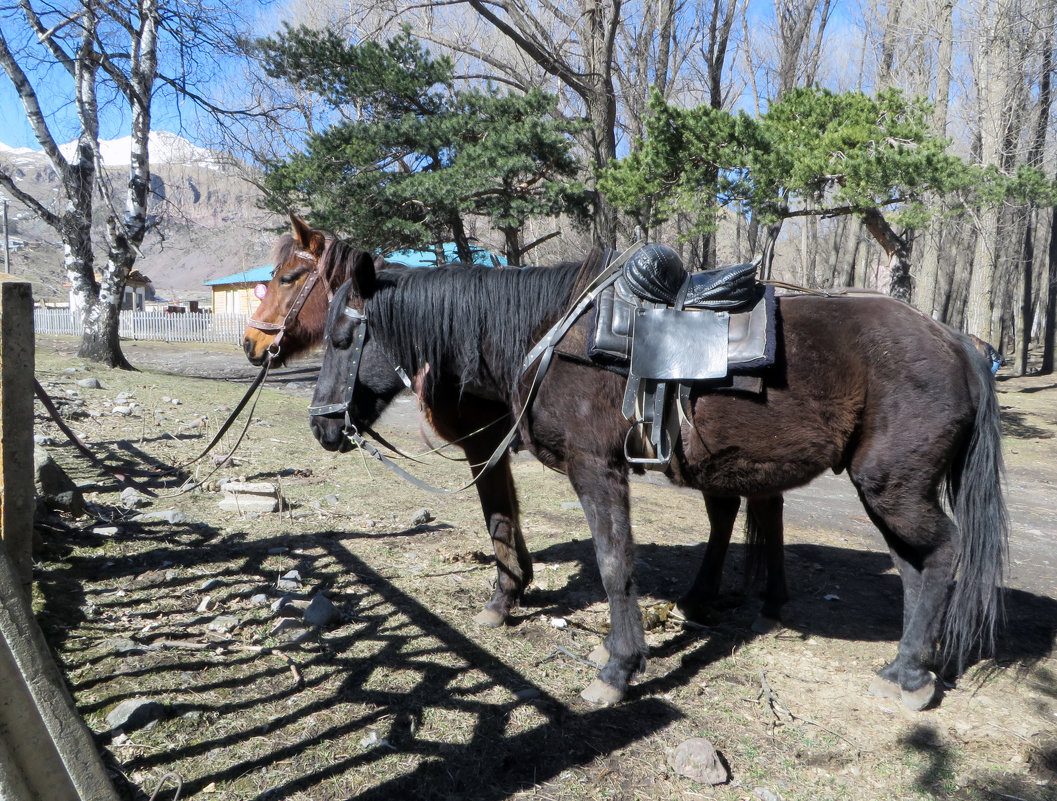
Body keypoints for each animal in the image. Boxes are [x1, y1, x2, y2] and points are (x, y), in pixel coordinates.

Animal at [308, 233, 1006, 714]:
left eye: (342, 339)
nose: (322, 427)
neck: (549, 337)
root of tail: (959, 344)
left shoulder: (597, 471)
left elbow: (616, 563)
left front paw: (618, 669)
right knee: (915, 568)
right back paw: (901, 667)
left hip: (893, 488)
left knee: (942, 557)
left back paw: (912, 675)